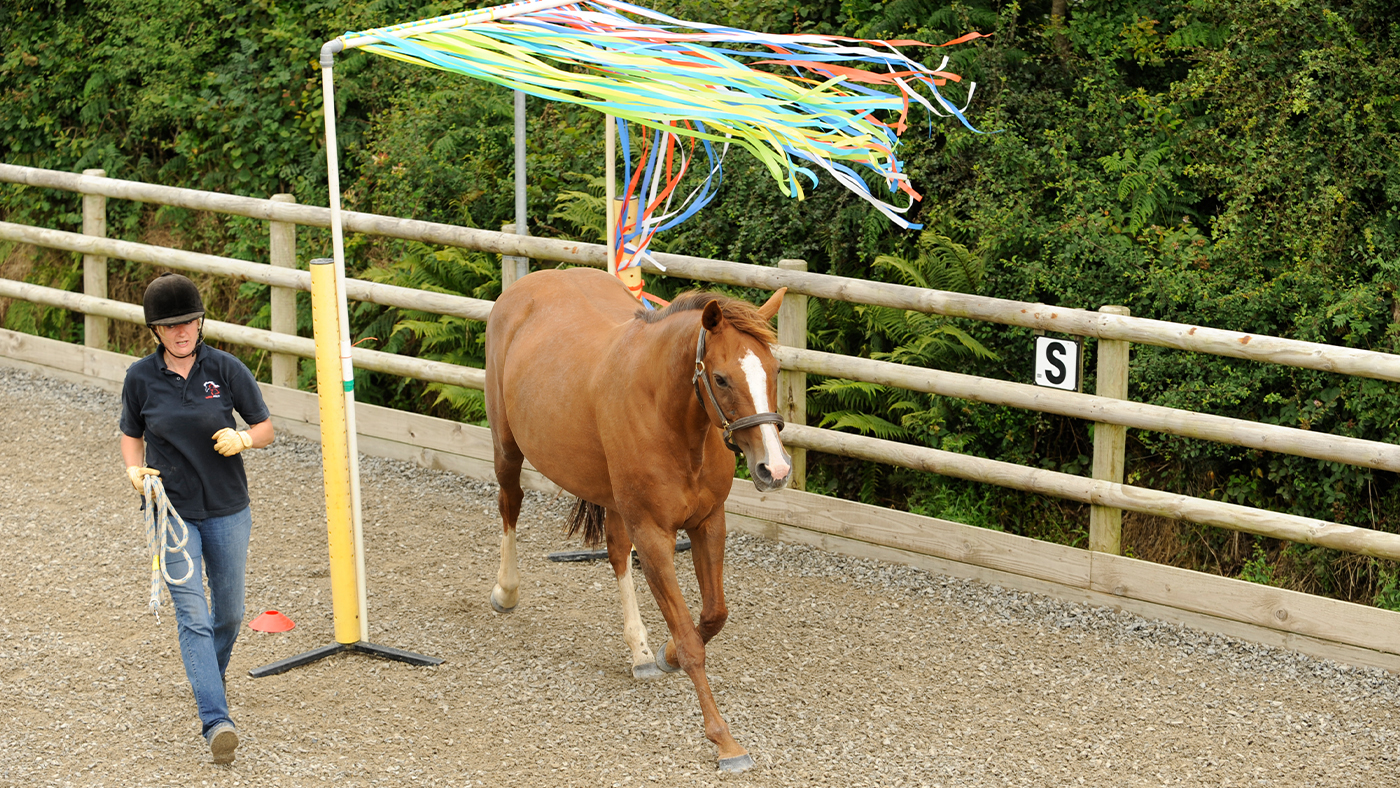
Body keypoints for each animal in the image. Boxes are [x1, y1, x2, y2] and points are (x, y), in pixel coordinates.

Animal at [483, 266, 791, 772]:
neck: (669, 416)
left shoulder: (709, 524)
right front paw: (724, 742)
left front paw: (663, 654)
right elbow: (690, 640)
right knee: (511, 505)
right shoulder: (653, 534)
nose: (775, 469)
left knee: (614, 552)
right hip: (507, 449)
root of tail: (531, 284)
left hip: (611, 497)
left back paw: (641, 651)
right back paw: (505, 592)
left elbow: (713, 615)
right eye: (722, 378)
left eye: (774, 369)